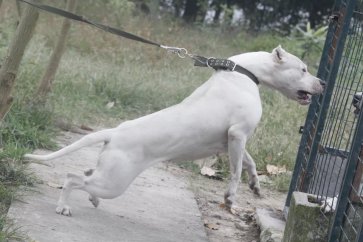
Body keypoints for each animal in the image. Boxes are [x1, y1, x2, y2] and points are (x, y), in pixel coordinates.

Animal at [24, 45, 326, 216]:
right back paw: (64, 206)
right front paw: (230, 198)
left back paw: (92, 199)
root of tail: (114, 132)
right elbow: (236, 169)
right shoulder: (237, 135)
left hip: (108, 174)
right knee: (72, 178)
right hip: (114, 181)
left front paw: (255, 185)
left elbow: (249, 163)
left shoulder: (231, 140)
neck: (244, 72)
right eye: (303, 69)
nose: (322, 82)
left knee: (86, 175)